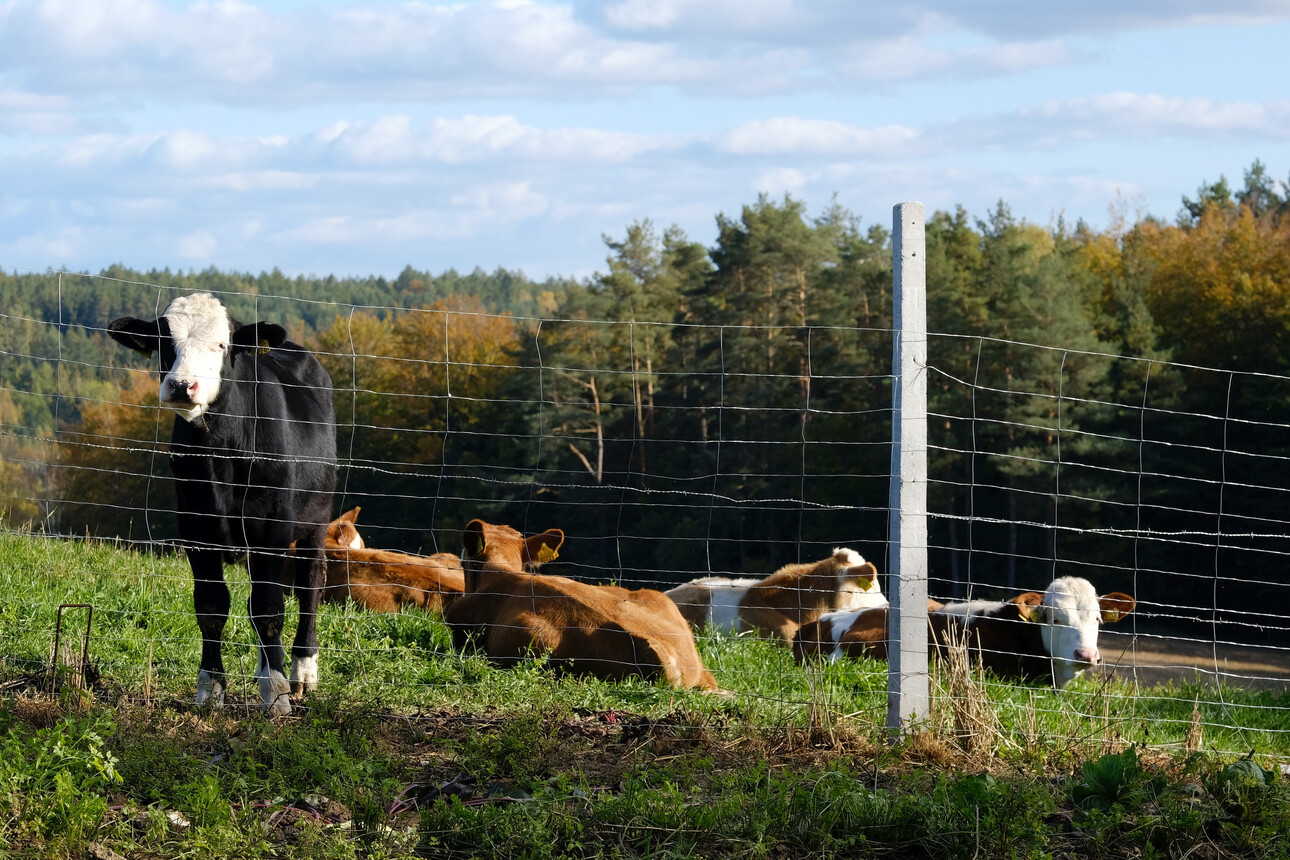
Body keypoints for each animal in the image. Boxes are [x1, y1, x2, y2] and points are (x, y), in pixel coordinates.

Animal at [109, 293, 337, 711]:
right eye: (165, 344)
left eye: (221, 345)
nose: (183, 385)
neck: (220, 455)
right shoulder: (195, 525)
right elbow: (212, 606)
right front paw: (211, 687)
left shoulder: (272, 526)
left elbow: (268, 608)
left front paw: (276, 691)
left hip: (316, 518)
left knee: (310, 582)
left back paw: (301, 670)